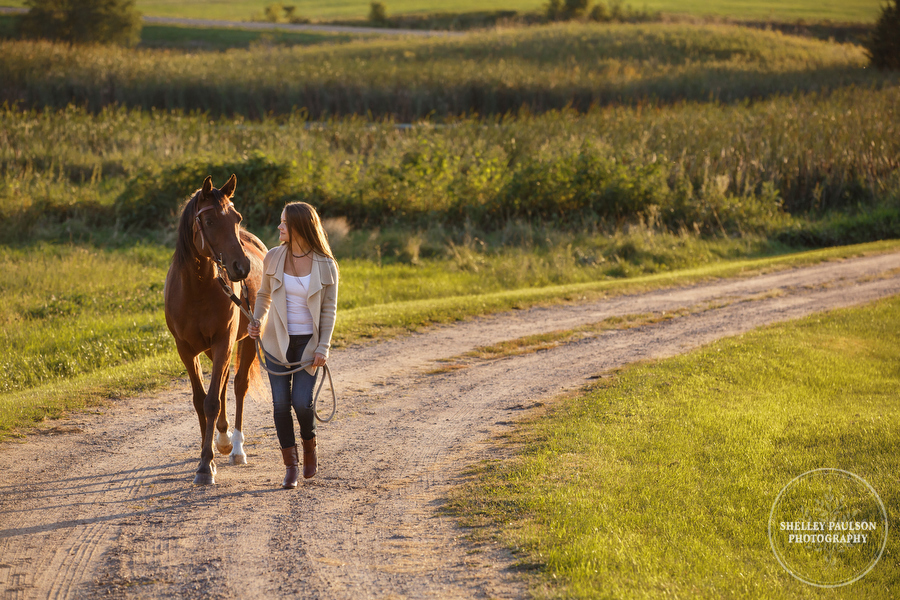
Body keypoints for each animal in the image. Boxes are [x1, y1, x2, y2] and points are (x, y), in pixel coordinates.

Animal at [163, 176, 268, 486]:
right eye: (209, 220)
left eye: (237, 218)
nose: (241, 267)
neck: (196, 289)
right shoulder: (186, 350)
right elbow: (201, 401)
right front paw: (205, 453)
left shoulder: (224, 342)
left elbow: (212, 401)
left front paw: (205, 465)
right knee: (222, 386)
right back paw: (222, 439)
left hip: (245, 341)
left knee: (238, 385)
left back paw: (236, 448)